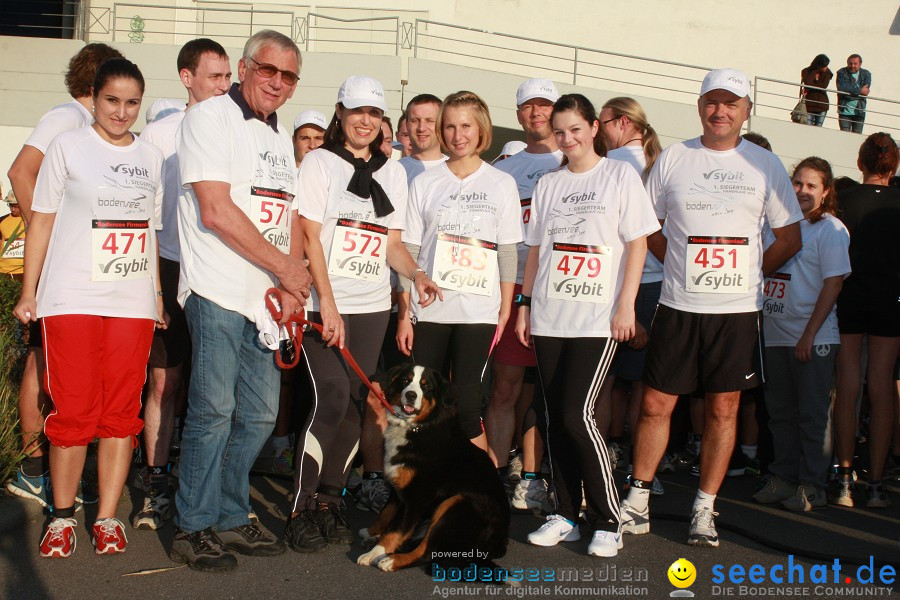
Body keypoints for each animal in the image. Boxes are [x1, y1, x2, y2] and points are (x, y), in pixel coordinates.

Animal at [356, 364, 510, 568]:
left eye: (426, 386)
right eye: (405, 381)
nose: (411, 395)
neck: (418, 427)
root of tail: (500, 544)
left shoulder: (416, 497)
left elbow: (396, 530)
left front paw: (374, 553)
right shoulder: (398, 487)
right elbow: (385, 514)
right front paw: (372, 532)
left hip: (457, 503)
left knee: (427, 552)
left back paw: (392, 560)